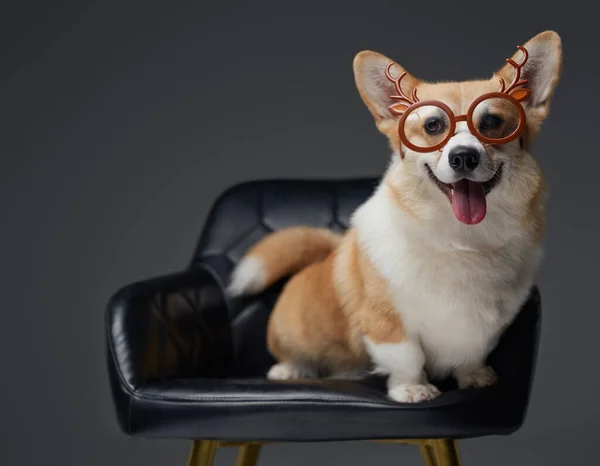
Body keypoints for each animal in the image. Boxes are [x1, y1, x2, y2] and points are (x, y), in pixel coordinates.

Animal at [226, 31, 564, 404]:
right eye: (433, 125)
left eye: (491, 122)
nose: (464, 157)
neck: (461, 239)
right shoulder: (386, 322)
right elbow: (407, 357)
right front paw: (413, 388)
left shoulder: (485, 326)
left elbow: (473, 352)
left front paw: (474, 377)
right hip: (288, 334)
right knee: (293, 356)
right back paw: (288, 370)